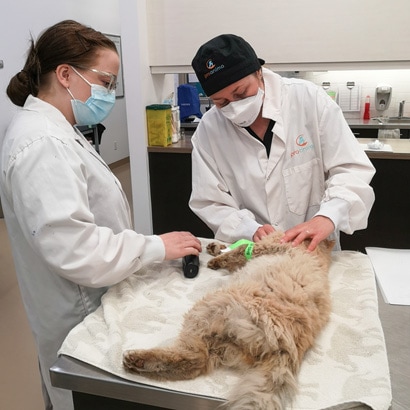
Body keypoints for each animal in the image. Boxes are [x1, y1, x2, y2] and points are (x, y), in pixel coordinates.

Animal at [123, 232, 334, 408]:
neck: (315, 249)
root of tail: (287, 349)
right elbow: (234, 251)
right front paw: (214, 248)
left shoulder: (266, 247)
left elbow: (239, 250)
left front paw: (216, 259)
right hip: (219, 338)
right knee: (196, 364)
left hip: (208, 310)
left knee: (195, 359)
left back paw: (137, 359)